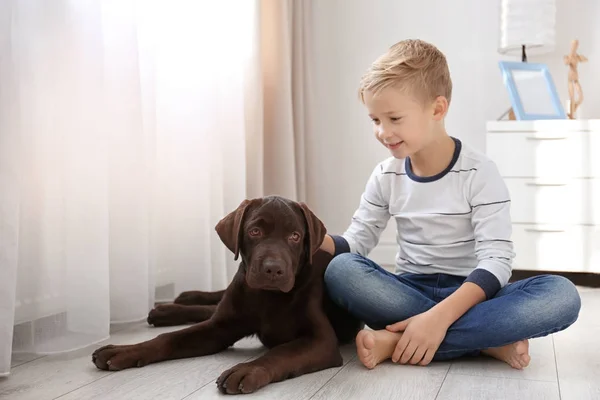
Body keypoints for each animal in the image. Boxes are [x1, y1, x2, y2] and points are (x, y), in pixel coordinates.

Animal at [90, 196, 360, 394]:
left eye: (295, 236)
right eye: (254, 232)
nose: (273, 269)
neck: (267, 297)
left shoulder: (321, 340)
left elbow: (282, 352)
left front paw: (248, 370)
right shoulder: (219, 327)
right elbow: (169, 339)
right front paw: (124, 351)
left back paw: (169, 308)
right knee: (212, 306)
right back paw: (174, 305)